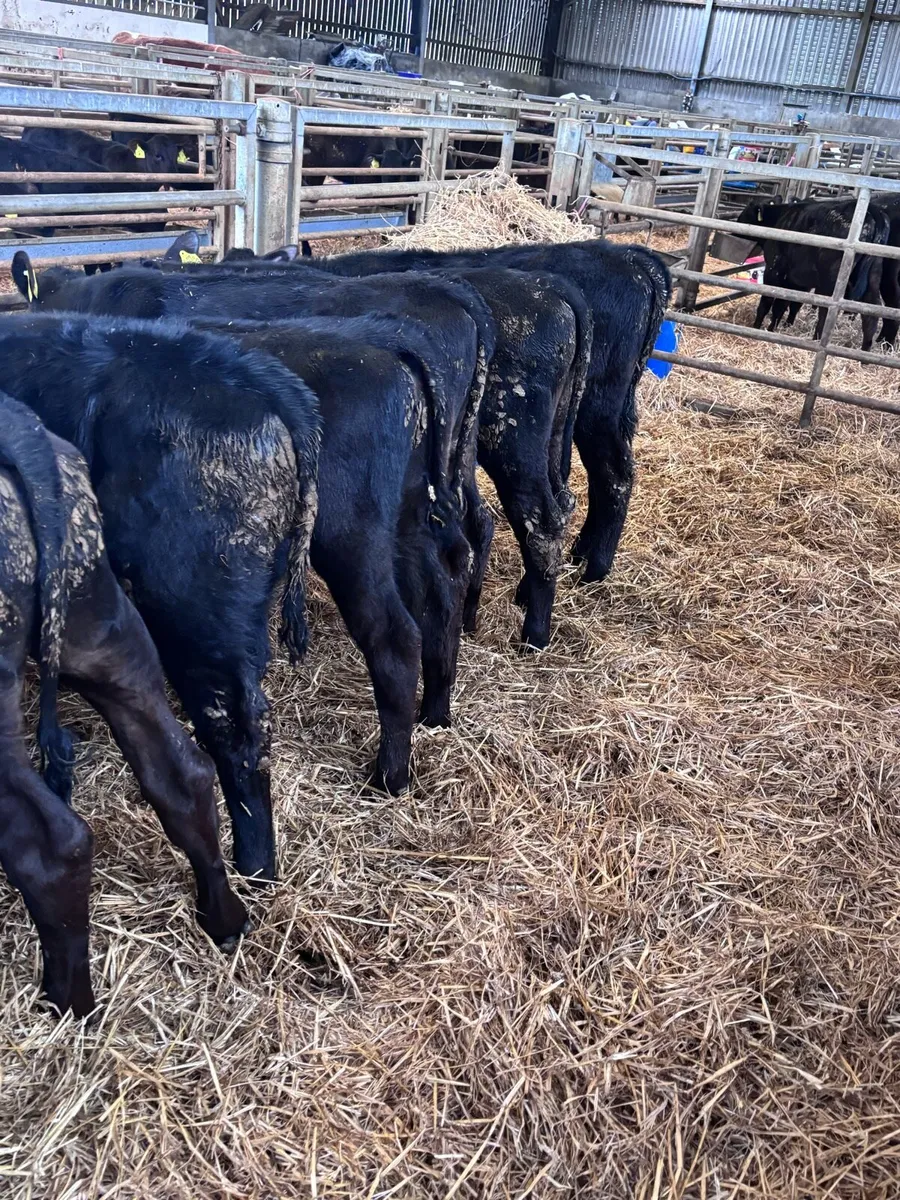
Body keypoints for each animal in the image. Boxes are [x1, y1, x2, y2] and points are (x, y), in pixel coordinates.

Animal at [736, 197, 891, 349]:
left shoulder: (774, 270)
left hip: (832, 280)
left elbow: (767, 302)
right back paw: (864, 351)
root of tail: (872, 211)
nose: (734, 229)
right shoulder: (795, 279)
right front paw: (775, 328)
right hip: (873, 277)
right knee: (871, 314)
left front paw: (756, 328)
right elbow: (786, 304)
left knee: (827, 311)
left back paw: (816, 340)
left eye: (745, 213)